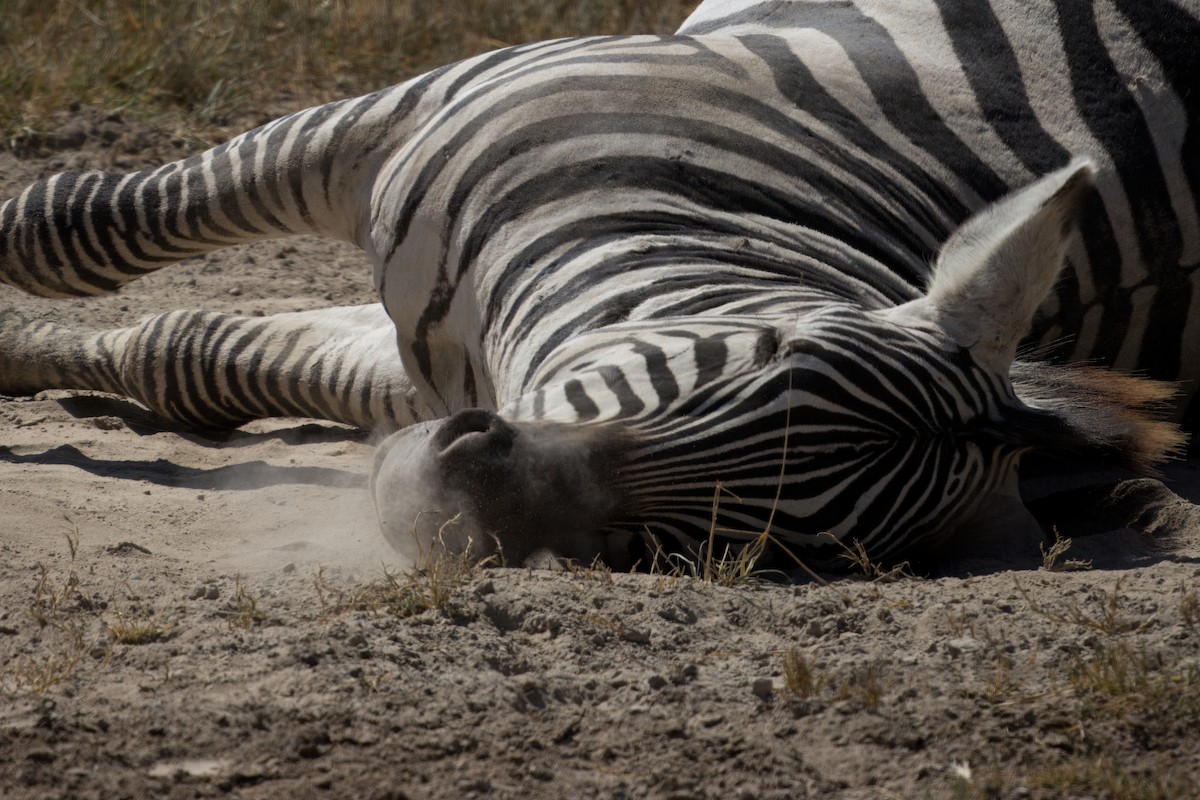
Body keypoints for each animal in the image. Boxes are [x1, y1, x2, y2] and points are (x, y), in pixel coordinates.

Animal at [0, 0, 1196, 569]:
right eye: (766, 350)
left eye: (727, 548)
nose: (452, 493)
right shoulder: (400, 111)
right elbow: (73, 230)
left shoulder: (441, 371)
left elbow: (196, 345)